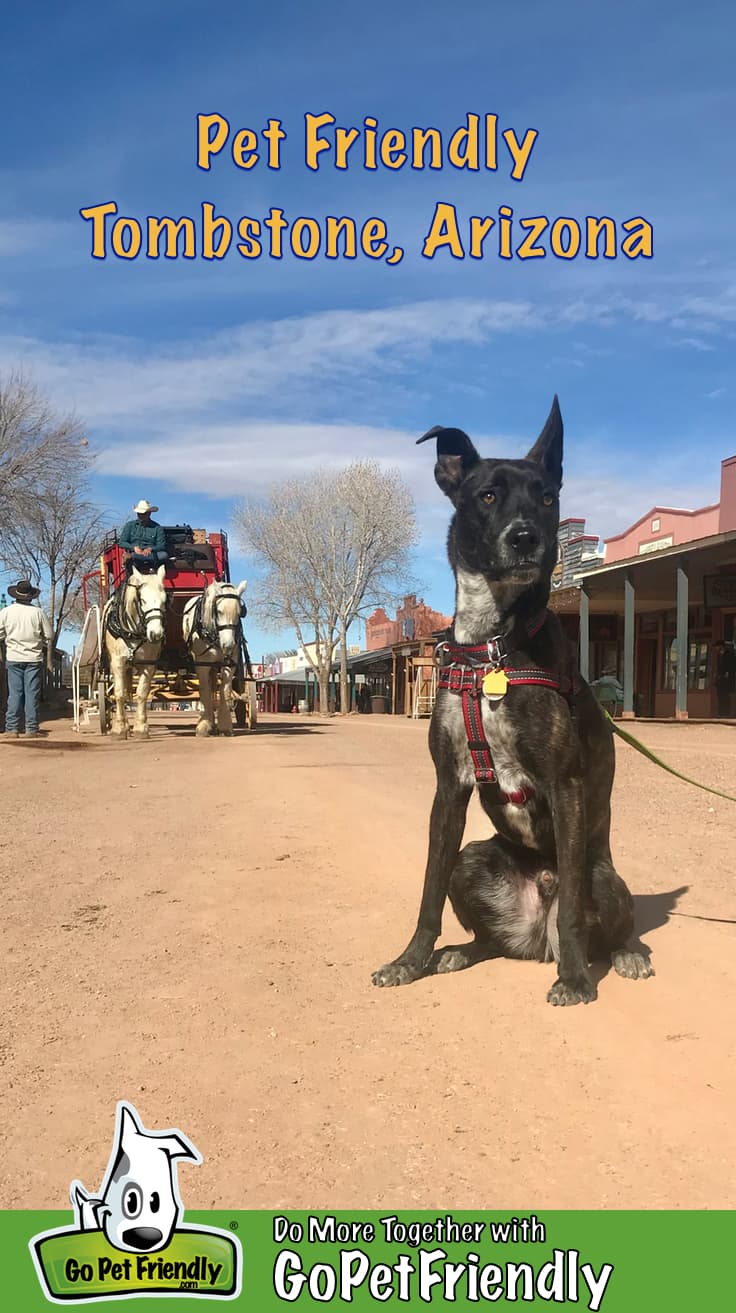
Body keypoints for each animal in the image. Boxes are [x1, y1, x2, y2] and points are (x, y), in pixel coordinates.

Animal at [101, 567, 167, 740]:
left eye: (165, 600)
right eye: (142, 600)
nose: (156, 634)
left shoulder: (149, 665)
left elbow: (142, 693)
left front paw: (141, 727)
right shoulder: (118, 662)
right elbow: (119, 693)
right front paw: (119, 728)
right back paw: (121, 724)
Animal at [182, 577, 247, 735]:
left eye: (240, 613)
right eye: (219, 611)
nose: (228, 645)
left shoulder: (230, 663)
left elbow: (225, 689)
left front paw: (225, 725)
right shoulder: (202, 664)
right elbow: (204, 689)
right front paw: (204, 725)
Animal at [369, 391, 650, 1003]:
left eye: (547, 497)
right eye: (488, 495)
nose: (526, 537)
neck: (493, 648)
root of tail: (536, 936)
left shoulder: (566, 785)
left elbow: (573, 911)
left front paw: (576, 980)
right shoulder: (448, 788)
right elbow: (427, 891)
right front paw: (410, 961)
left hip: (601, 875)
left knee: (595, 916)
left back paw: (623, 955)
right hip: (473, 859)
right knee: (490, 938)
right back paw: (460, 952)